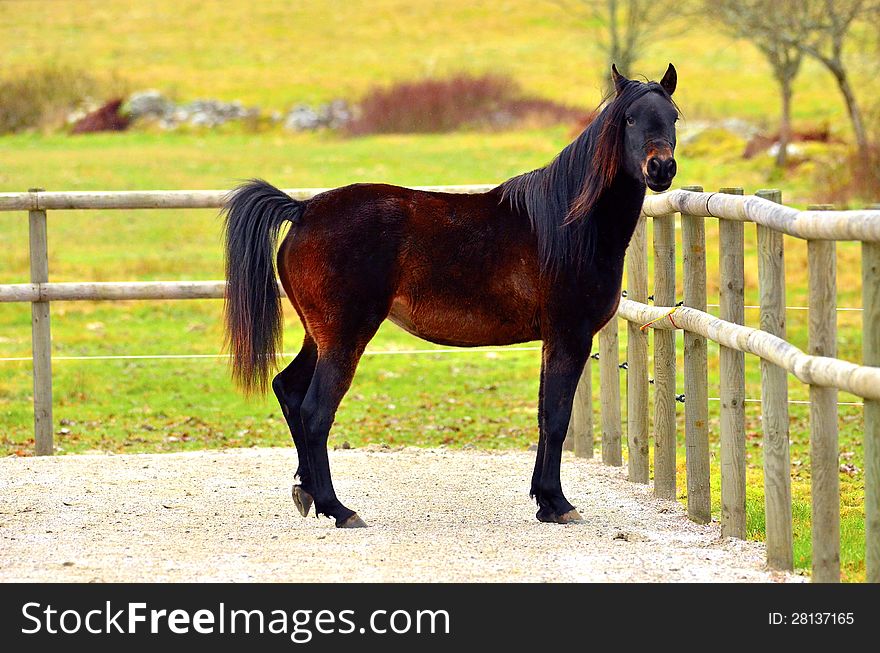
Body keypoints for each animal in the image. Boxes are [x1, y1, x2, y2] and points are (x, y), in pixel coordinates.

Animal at [223, 65, 676, 524]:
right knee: (315, 412)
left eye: (672, 117)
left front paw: (544, 501)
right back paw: (338, 508)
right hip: (344, 337)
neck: (570, 223)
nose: (661, 168)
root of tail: (303, 210)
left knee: (289, 390)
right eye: (630, 119)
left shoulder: (553, 340)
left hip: (319, 336)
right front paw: (558, 502)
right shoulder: (570, 337)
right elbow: (556, 417)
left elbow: (543, 414)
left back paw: (308, 492)